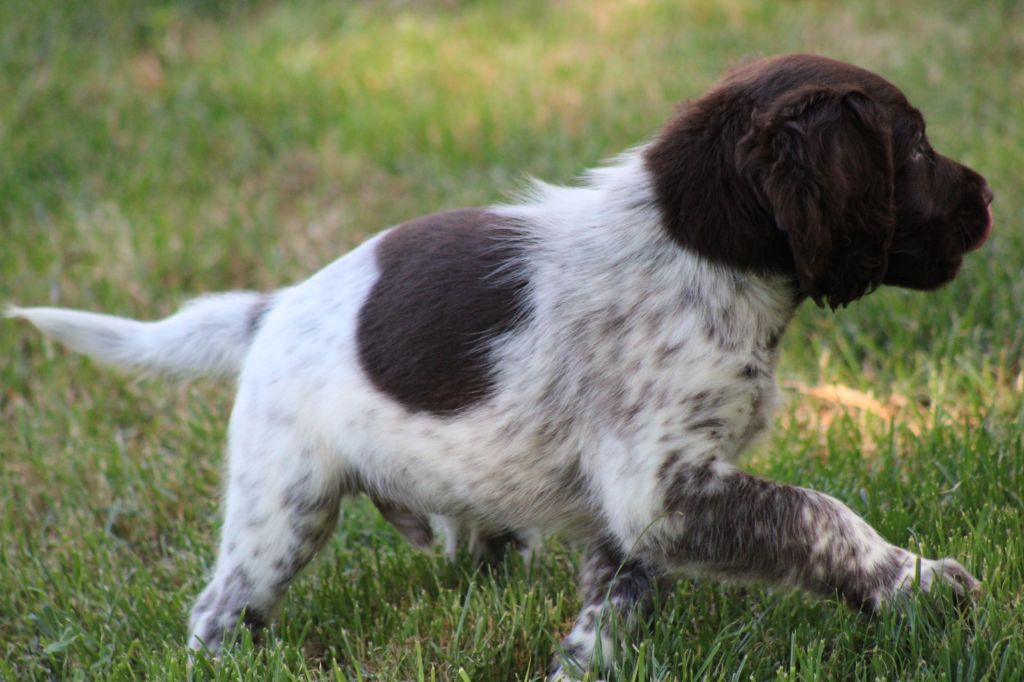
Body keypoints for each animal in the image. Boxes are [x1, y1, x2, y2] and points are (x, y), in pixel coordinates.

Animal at [8, 54, 991, 675]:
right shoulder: (662, 485)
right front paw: (917, 585)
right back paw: (226, 660)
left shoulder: (634, 507)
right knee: (219, 606)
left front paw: (587, 662)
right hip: (282, 502)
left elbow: (617, 598)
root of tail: (273, 306)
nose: (987, 198)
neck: (696, 251)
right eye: (911, 146)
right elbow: (821, 513)